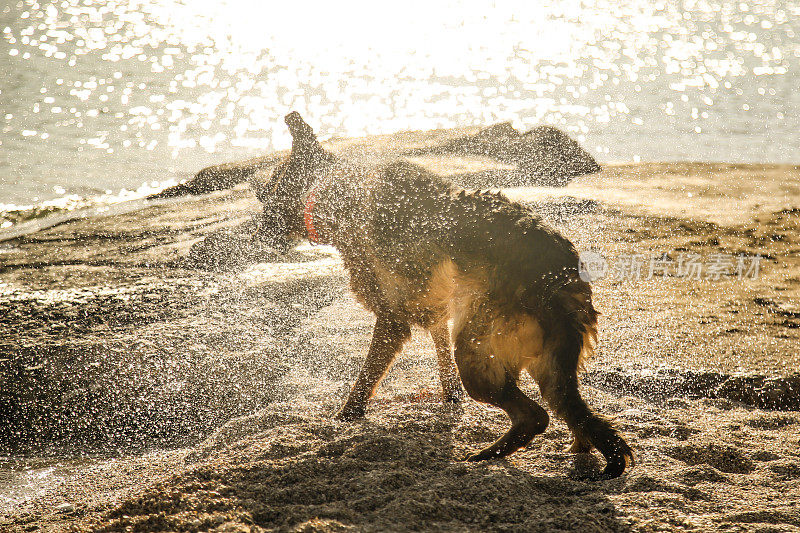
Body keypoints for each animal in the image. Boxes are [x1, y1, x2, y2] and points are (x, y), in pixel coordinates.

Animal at [253, 111, 636, 478]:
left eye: (264, 193)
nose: (257, 234)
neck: (336, 191)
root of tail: (559, 283)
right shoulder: (435, 306)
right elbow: (440, 353)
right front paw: (449, 397)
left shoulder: (392, 319)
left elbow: (365, 378)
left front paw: (347, 415)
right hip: (543, 363)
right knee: (576, 415)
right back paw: (574, 449)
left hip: (477, 351)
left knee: (535, 416)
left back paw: (486, 455)